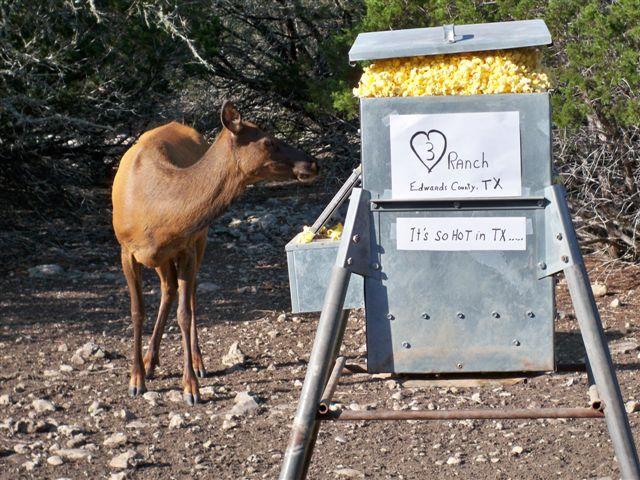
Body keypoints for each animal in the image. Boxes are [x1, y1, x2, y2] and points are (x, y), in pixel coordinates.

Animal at [114, 101, 318, 404]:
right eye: (269, 141)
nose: (313, 163)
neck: (156, 212)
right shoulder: (126, 250)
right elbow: (137, 311)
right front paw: (136, 379)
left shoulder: (186, 246)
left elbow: (184, 314)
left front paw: (190, 387)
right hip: (165, 255)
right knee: (169, 288)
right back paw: (151, 361)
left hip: (201, 237)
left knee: (188, 292)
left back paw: (196, 363)